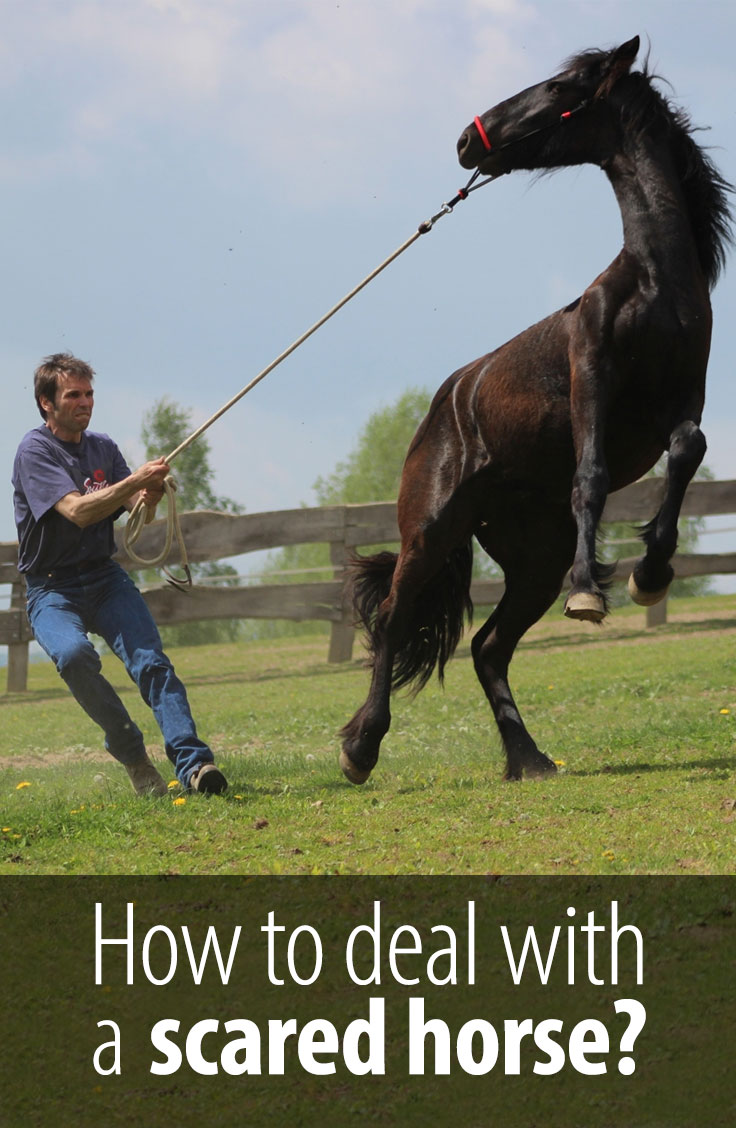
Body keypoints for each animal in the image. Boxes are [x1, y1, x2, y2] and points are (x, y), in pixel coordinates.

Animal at [339, 35, 733, 785]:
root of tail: (440, 411)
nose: (466, 140)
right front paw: (592, 591)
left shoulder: (684, 399)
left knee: (488, 646)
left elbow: (686, 453)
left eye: (555, 89)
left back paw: (529, 759)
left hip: (531, 557)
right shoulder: (591, 383)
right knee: (396, 617)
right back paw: (359, 748)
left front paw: (648, 574)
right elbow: (592, 479)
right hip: (430, 532)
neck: (652, 284)